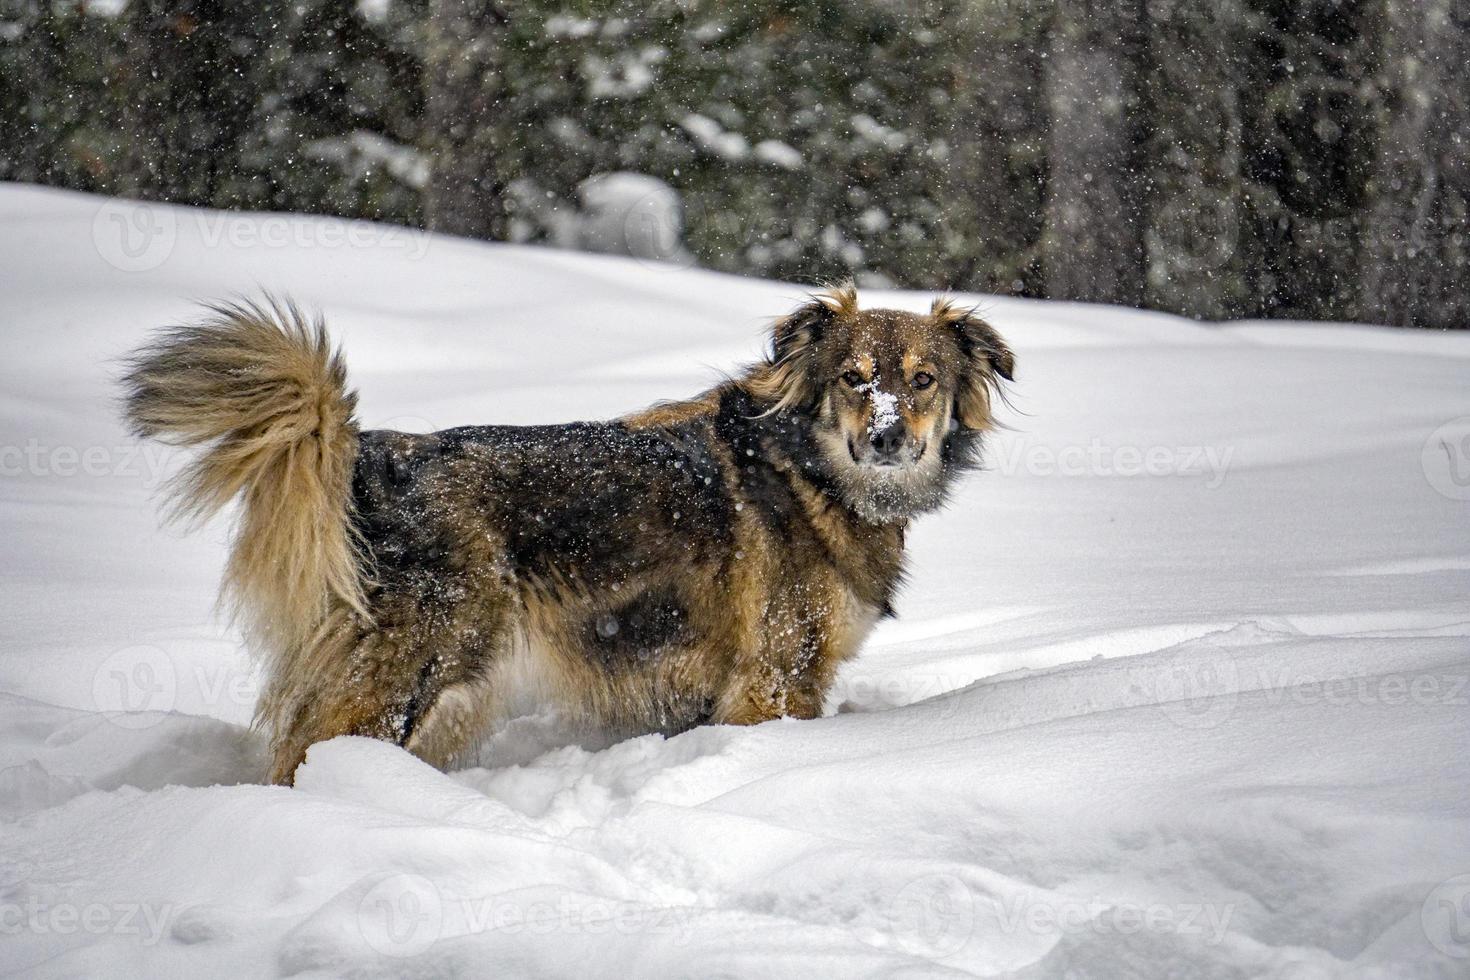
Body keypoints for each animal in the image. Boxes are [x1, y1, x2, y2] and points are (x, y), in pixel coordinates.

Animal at [123, 283, 1011, 781]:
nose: (887, 438)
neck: (807, 470)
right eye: (853, 380)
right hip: (416, 669)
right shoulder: (773, 679)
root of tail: (374, 457)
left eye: (923, 381)